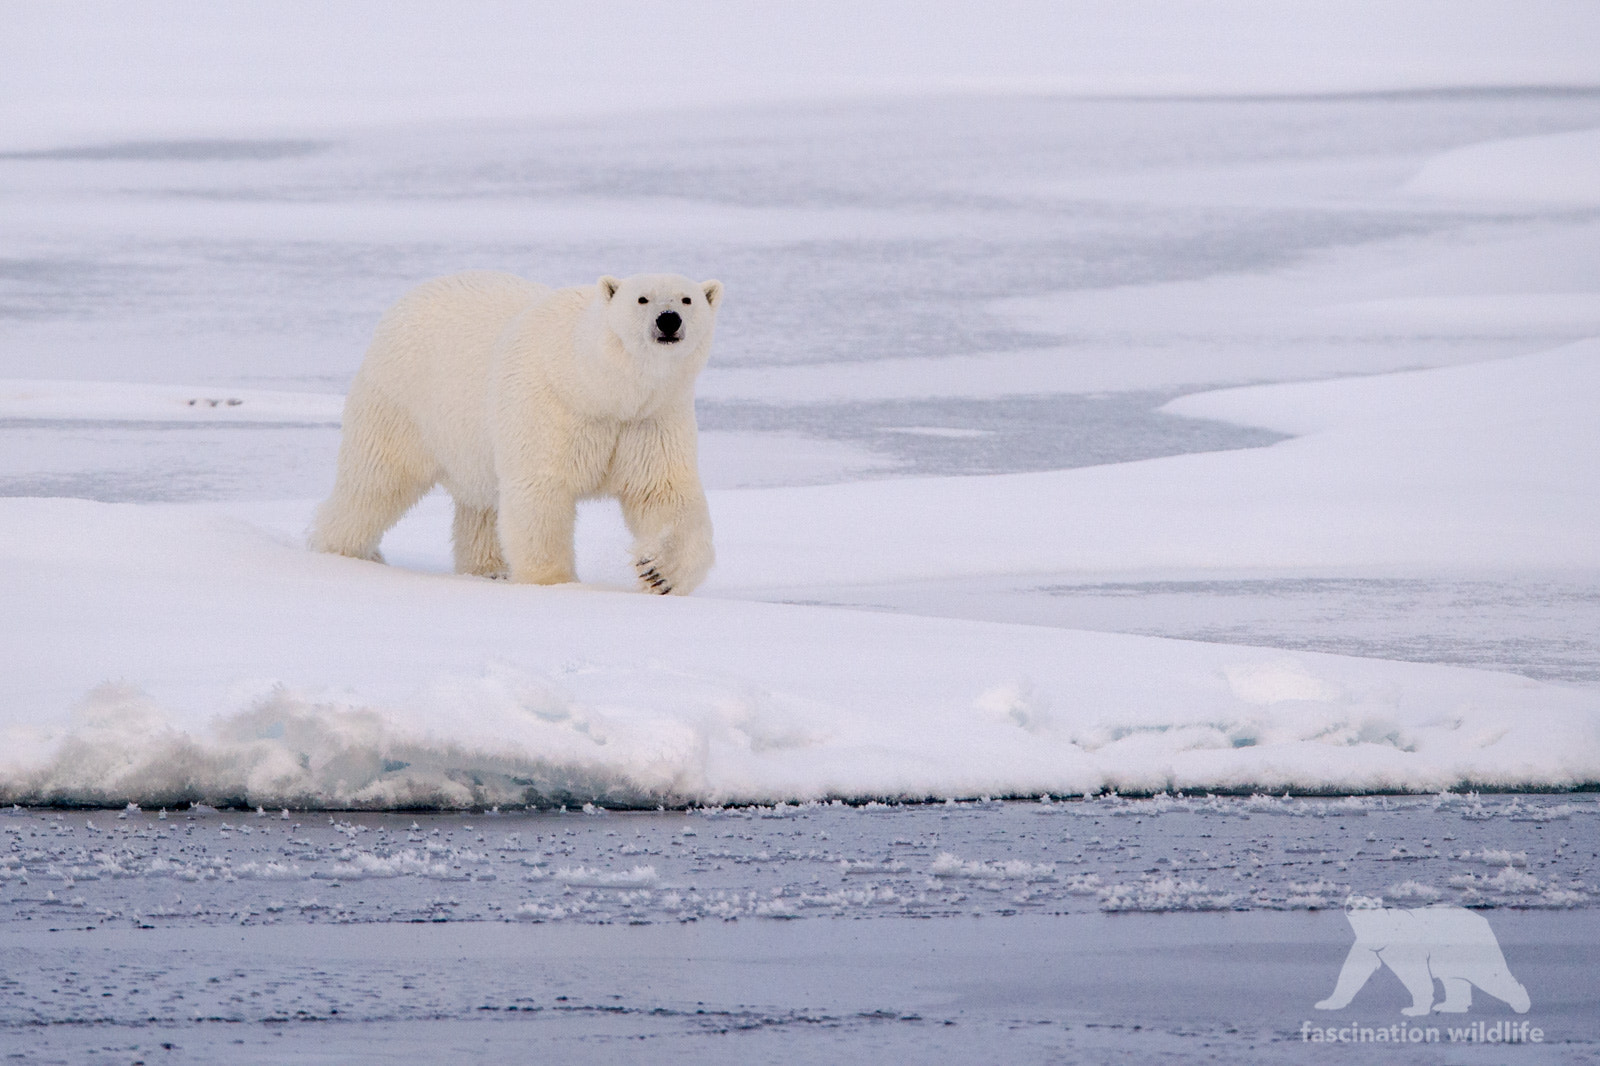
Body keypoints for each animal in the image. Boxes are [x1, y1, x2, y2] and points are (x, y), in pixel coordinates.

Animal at [309, 270, 722, 594]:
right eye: (642, 298)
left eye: (687, 299)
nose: (668, 320)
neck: (596, 387)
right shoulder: (551, 405)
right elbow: (541, 492)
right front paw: (555, 583)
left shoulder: (650, 420)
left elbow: (662, 492)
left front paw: (658, 572)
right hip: (404, 401)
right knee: (374, 481)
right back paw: (346, 551)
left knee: (480, 504)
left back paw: (488, 569)